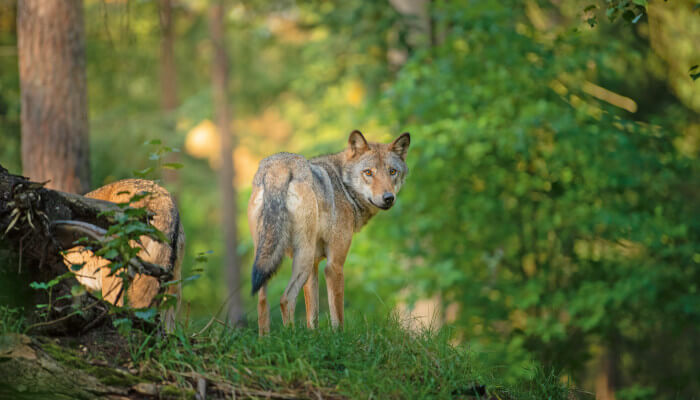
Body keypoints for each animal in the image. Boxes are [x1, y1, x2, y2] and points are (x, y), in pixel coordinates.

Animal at [248, 130, 410, 335]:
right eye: (368, 172)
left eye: (392, 171)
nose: (388, 198)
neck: (343, 186)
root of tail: (279, 167)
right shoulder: (334, 265)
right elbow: (337, 316)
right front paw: (339, 338)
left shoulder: (314, 267)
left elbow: (313, 316)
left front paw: (313, 336)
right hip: (303, 258)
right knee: (286, 299)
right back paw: (291, 336)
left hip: (266, 258)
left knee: (262, 301)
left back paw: (266, 339)